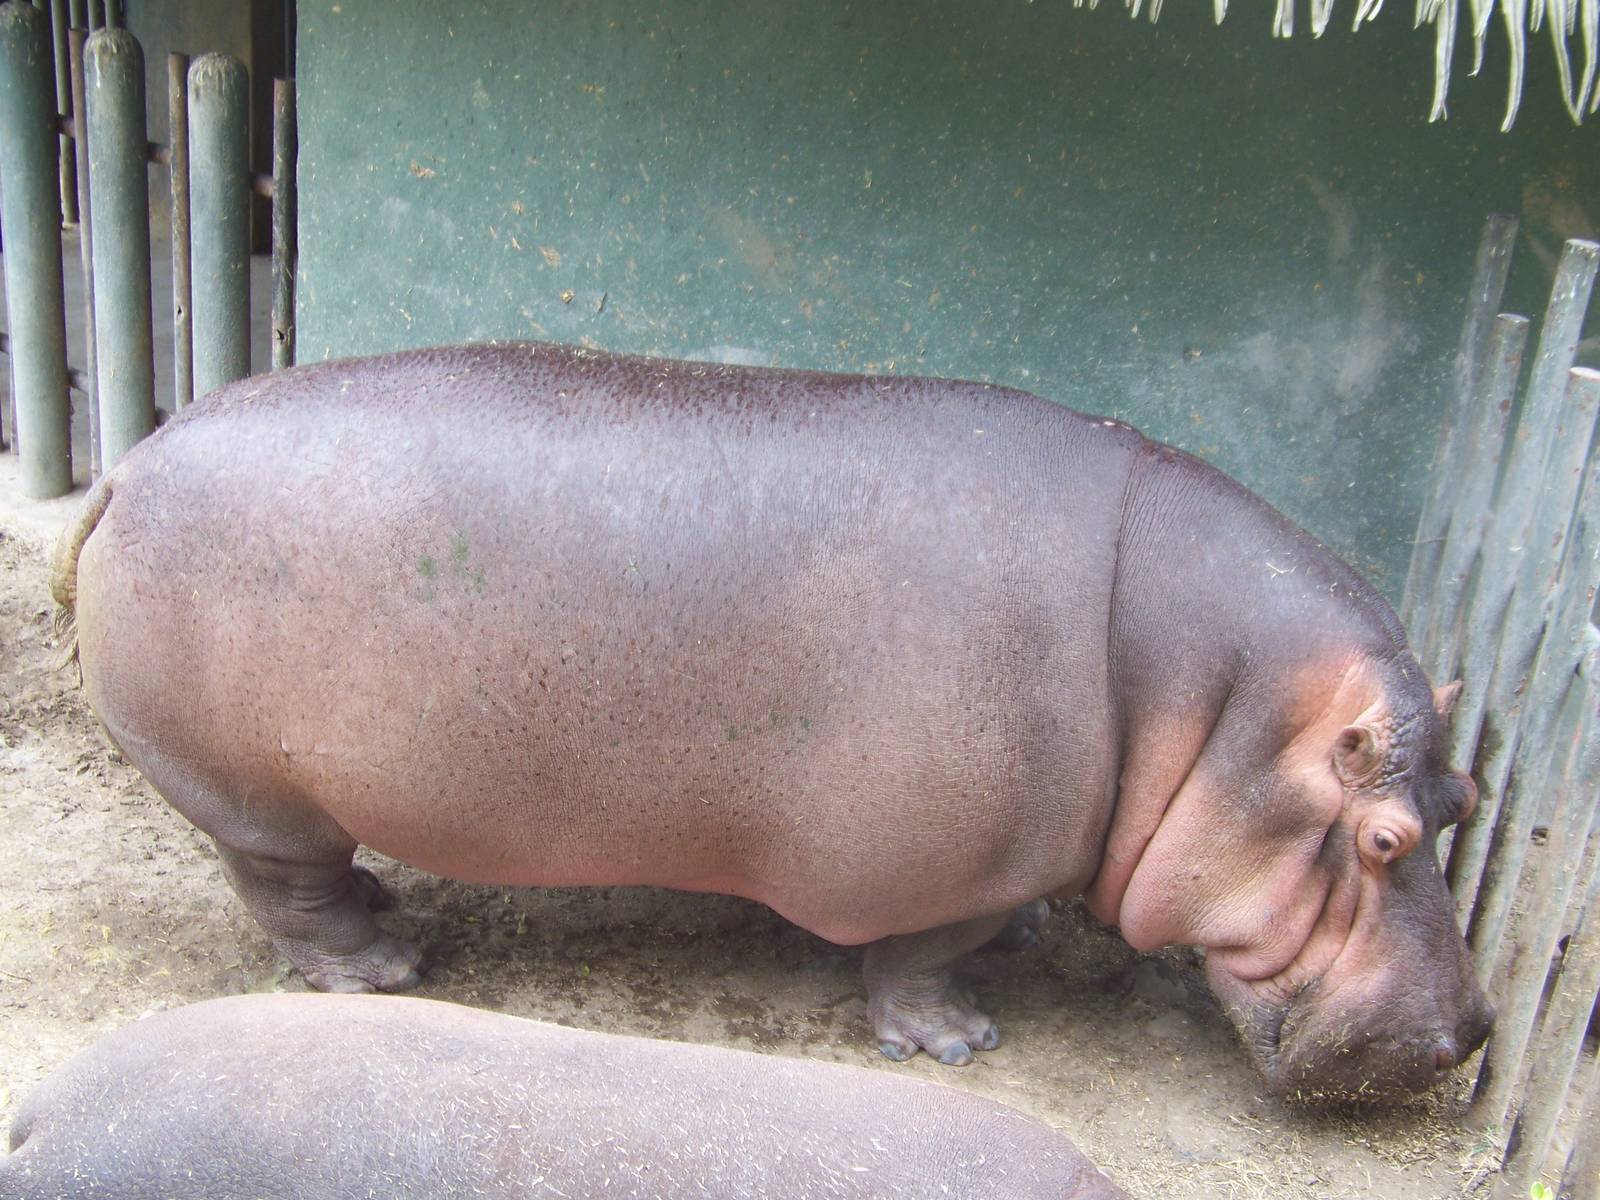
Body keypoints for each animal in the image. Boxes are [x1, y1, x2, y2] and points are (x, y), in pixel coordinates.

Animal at [50, 341, 1491, 1099]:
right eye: (1382, 843)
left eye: (1463, 803)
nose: (1470, 1033)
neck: (1205, 695)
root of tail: (131, 461)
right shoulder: (928, 868)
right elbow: (920, 959)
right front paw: (960, 1040)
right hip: (256, 799)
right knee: (290, 895)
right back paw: (386, 965)